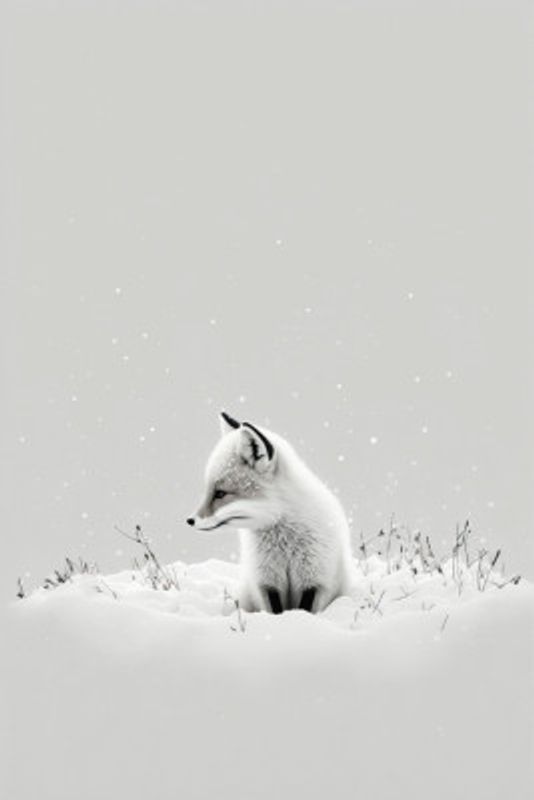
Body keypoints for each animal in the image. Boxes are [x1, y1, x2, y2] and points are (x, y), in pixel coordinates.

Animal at [186, 412, 354, 614]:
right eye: (209, 490)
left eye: (220, 493)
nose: (190, 520)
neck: (284, 544)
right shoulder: (267, 581)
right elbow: (275, 610)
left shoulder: (314, 578)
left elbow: (304, 608)